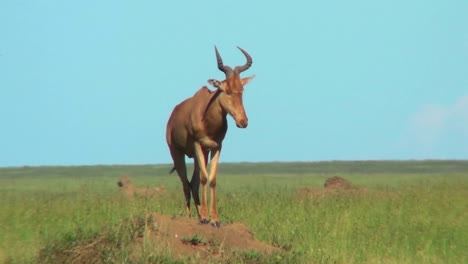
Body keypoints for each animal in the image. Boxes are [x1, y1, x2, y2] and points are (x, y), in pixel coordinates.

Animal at [166, 46, 256, 228]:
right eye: (226, 90)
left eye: (241, 90)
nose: (243, 122)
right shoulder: (197, 145)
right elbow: (204, 178)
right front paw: (206, 218)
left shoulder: (216, 147)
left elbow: (212, 179)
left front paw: (214, 219)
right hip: (177, 153)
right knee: (185, 183)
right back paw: (191, 217)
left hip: (201, 154)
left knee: (192, 183)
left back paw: (200, 214)